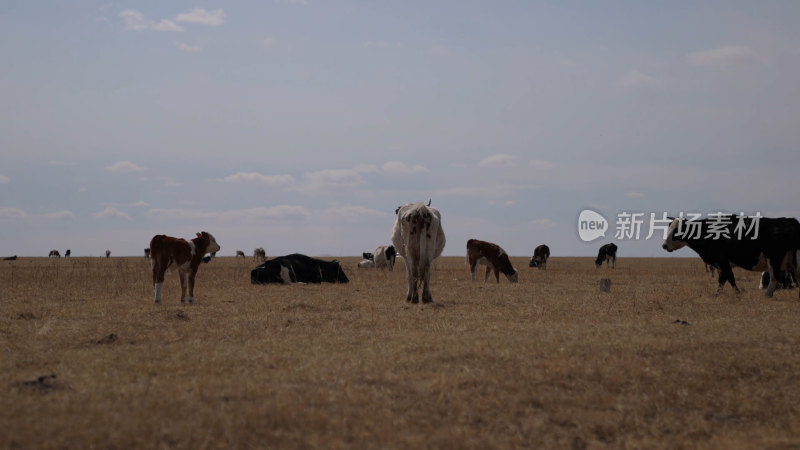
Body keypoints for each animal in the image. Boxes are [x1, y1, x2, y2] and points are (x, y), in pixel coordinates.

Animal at [664, 215, 800, 298]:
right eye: (669, 228)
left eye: (677, 230)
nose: (664, 245)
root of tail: (788, 220)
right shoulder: (722, 264)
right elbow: (722, 281)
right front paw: (717, 295)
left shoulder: (722, 261)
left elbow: (730, 279)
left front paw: (738, 294)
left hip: (773, 260)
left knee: (774, 279)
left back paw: (767, 295)